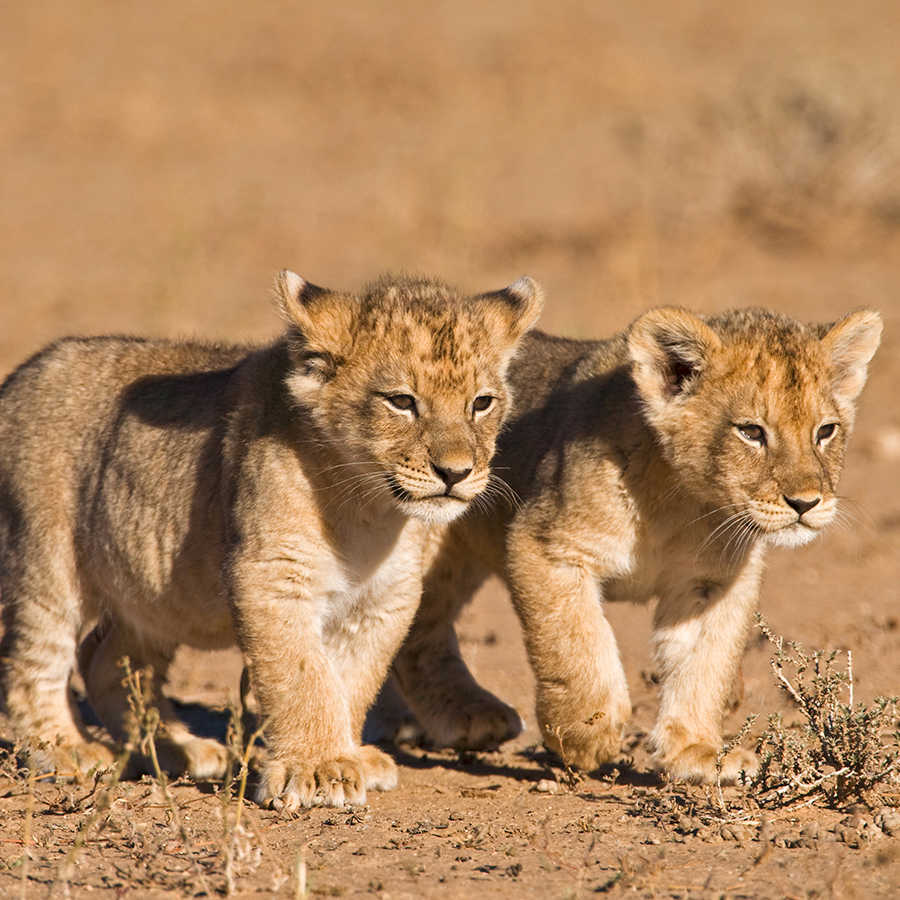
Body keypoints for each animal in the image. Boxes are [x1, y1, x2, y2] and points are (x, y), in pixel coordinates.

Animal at [0, 270, 543, 809]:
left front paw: (350, 756)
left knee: (108, 661)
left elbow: (351, 679)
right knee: (32, 663)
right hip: (45, 561)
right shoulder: (271, 577)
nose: (456, 473)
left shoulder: (383, 598)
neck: (368, 508)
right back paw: (67, 749)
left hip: (153, 595)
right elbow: (302, 677)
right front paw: (321, 769)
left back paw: (182, 751)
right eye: (402, 401)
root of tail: (19, 376)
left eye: (482, 403)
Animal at [377, 306, 882, 783]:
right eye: (751, 431)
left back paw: (465, 715)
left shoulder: (710, 582)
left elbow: (704, 663)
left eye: (825, 431)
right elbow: (577, 644)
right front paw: (586, 734)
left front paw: (698, 752)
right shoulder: (546, 543)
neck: (683, 502)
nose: (806, 502)